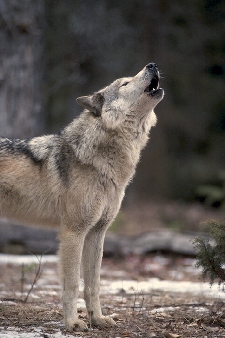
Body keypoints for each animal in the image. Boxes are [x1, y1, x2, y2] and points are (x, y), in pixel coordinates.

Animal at [0, 62, 163, 330]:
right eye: (125, 83)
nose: (152, 65)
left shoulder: (97, 232)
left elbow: (93, 285)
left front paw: (97, 319)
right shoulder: (73, 233)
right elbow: (72, 285)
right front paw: (73, 323)